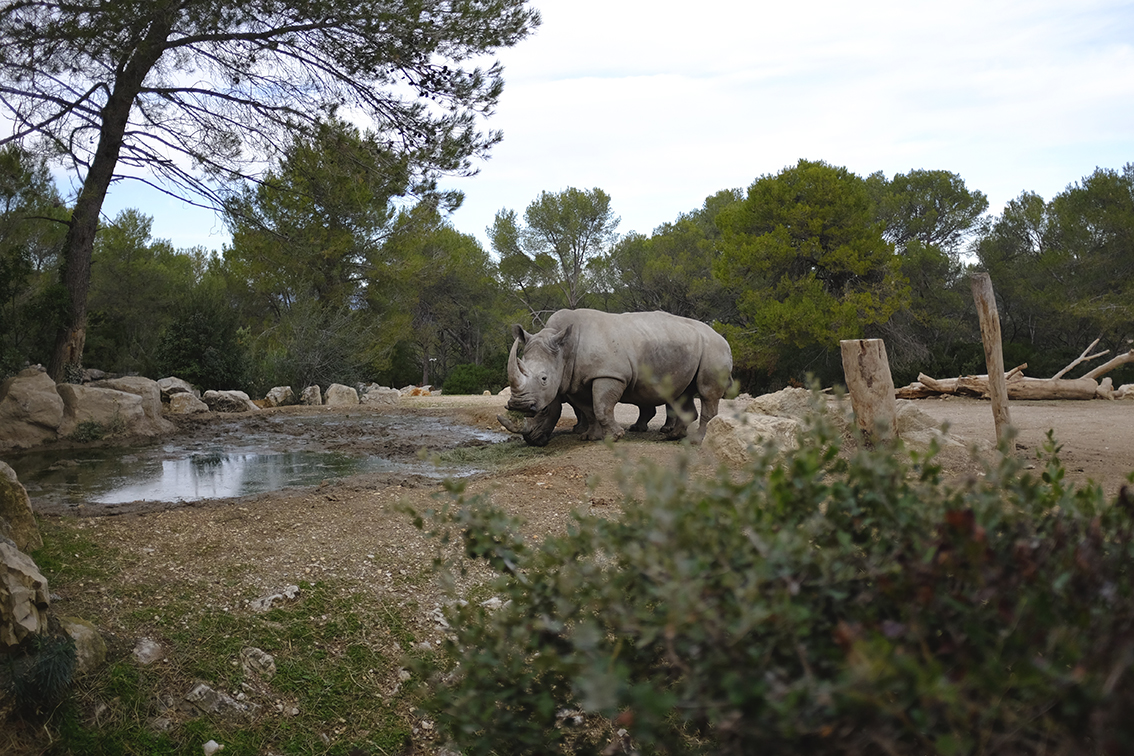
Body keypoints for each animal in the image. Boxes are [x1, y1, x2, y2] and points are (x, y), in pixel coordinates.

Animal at [496, 308, 734, 446]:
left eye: (544, 379)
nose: (531, 441)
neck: (564, 350)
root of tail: (723, 337)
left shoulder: (609, 374)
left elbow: (601, 407)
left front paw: (616, 437)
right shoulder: (576, 381)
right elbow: (589, 410)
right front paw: (590, 437)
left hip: (713, 348)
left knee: (706, 393)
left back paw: (697, 440)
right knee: (683, 393)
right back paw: (674, 436)